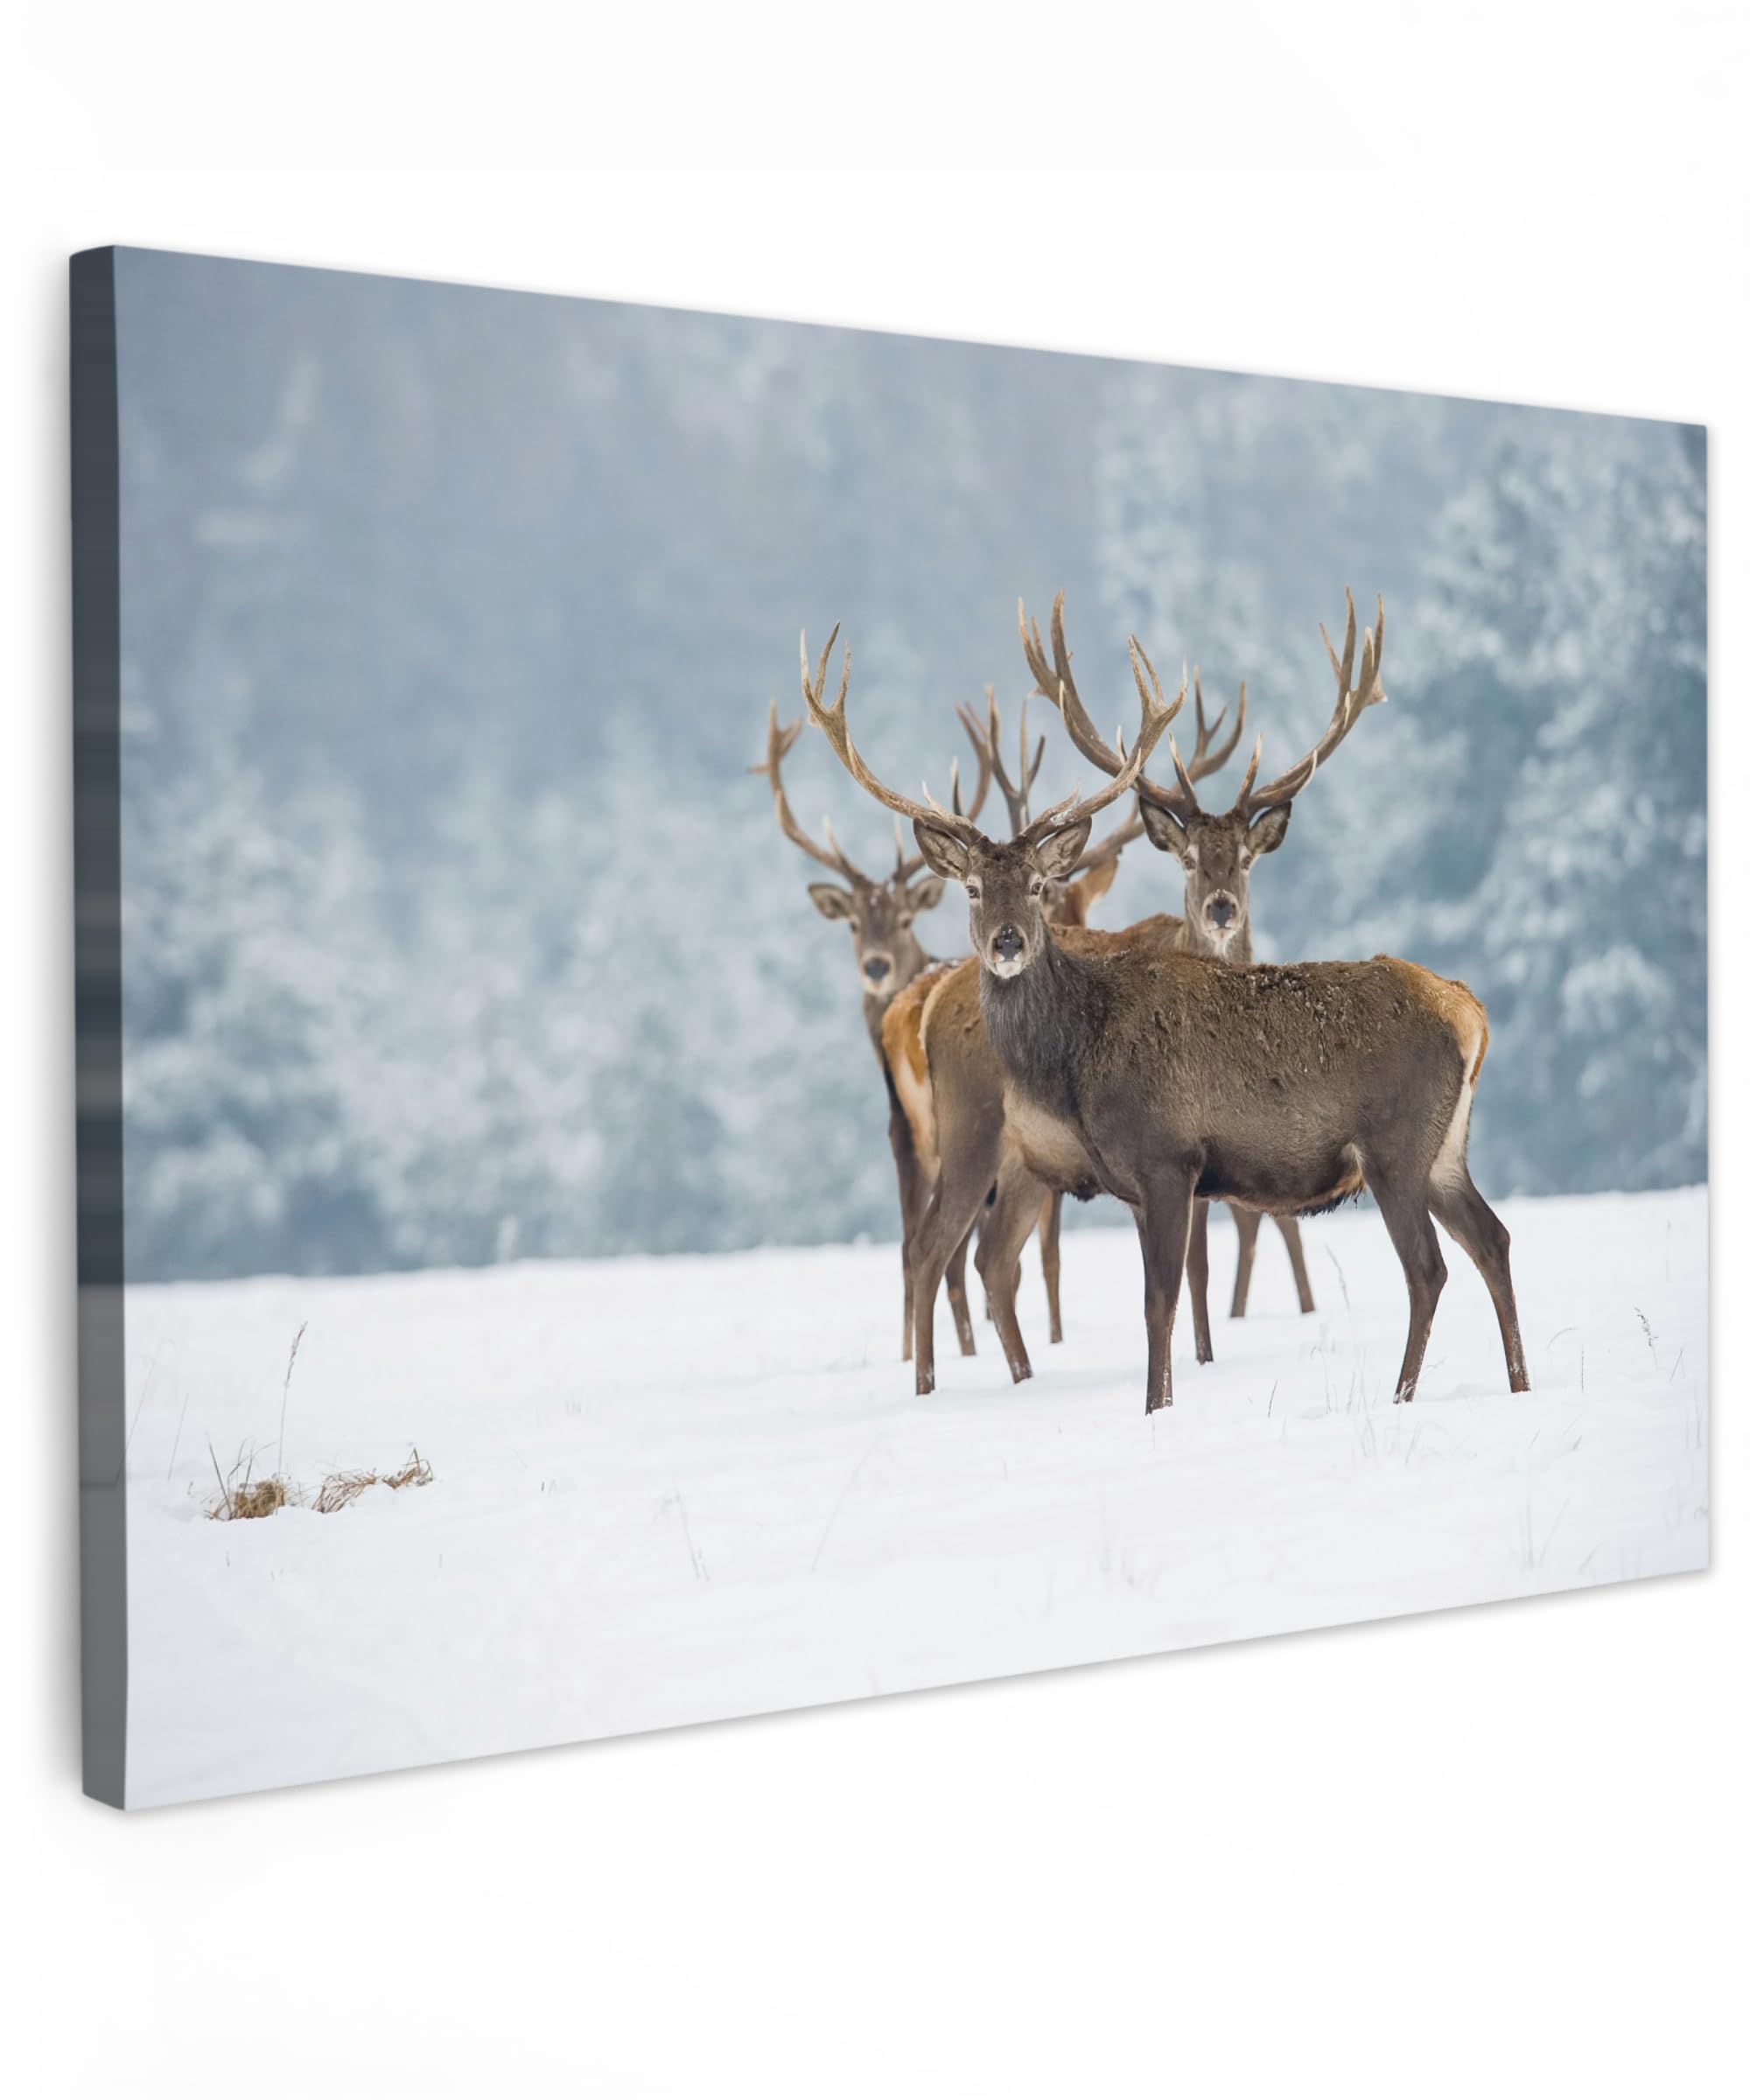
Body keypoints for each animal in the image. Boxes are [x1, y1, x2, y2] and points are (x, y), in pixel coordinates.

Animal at [804, 604, 1531, 1414]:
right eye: (973, 888)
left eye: (1035, 884)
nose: (1006, 940)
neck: (1077, 1054)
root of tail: (1471, 1013)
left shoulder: (1166, 1158)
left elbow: (1162, 1299)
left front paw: (1156, 1407)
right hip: (1444, 1150)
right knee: (1494, 1240)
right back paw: (1518, 1383)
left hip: (1395, 1145)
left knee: (1429, 1267)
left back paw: (1403, 1394)